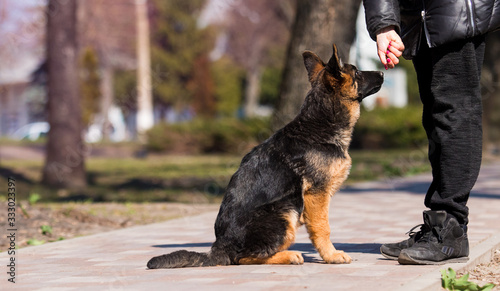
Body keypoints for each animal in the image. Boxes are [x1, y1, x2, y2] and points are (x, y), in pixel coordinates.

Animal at [147, 44, 382, 270]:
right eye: (357, 72)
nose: (381, 71)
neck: (320, 123)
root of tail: (220, 247)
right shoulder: (317, 194)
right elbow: (323, 227)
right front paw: (331, 256)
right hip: (285, 212)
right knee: (242, 258)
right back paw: (288, 256)